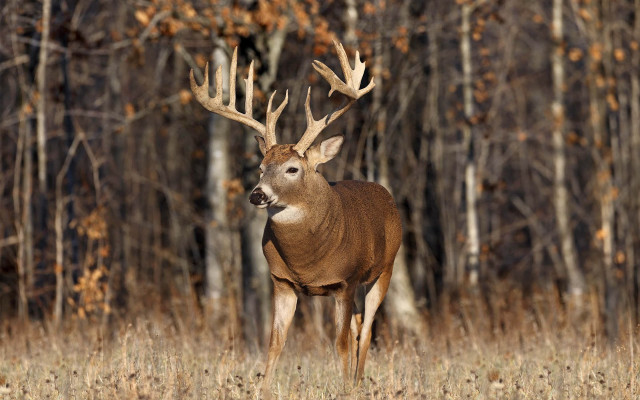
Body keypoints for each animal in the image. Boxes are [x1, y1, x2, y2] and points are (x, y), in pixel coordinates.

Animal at [190, 40, 402, 394]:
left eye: (292, 169)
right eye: (261, 167)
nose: (257, 195)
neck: (307, 260)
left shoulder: (345, 281)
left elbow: (340, 343)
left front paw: (344, 391)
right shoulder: (282, 282)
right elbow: (275, 342)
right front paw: (262, 391)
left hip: (384, 270)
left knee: (367, 329)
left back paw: (357, 383)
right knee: (359, 326)